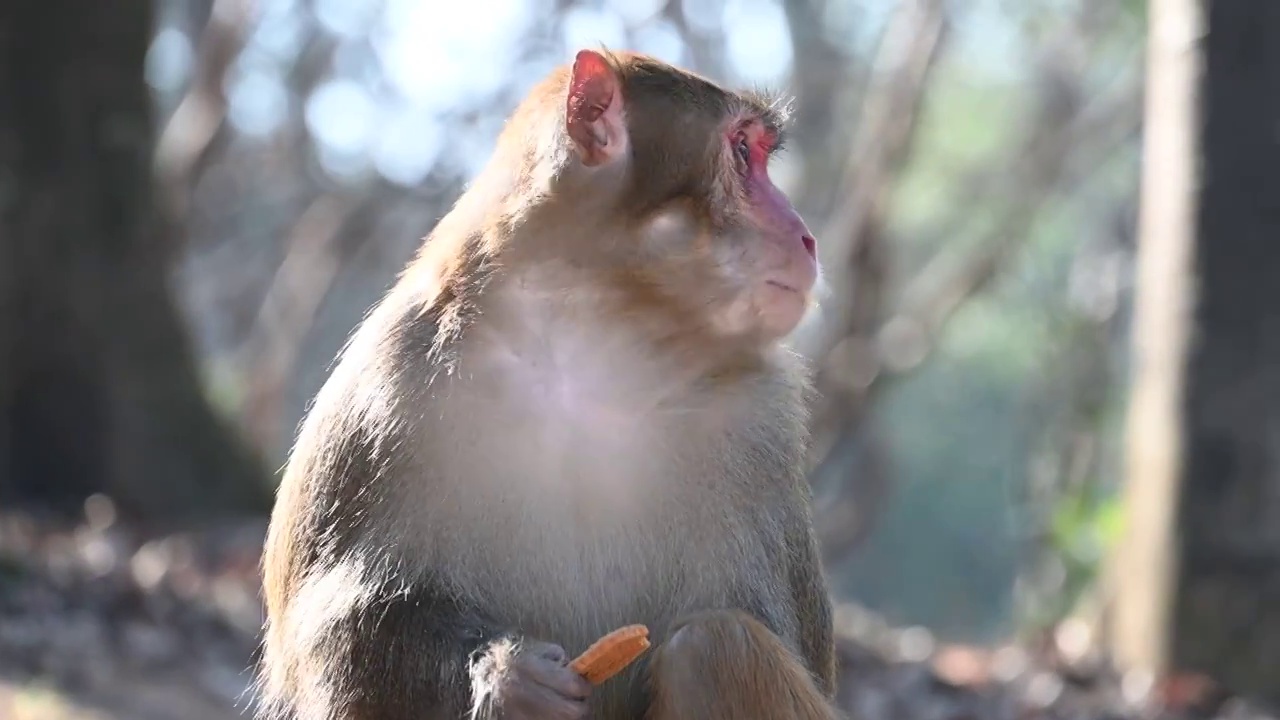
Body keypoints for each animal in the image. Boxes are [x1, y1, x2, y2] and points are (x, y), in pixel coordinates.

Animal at [259, 46, 839, 717]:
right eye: (743, 152)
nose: (808, 237)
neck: (595, 346)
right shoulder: (389, 385)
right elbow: (341, 632)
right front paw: (509, 678)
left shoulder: (758, 420)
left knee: (714, 646)